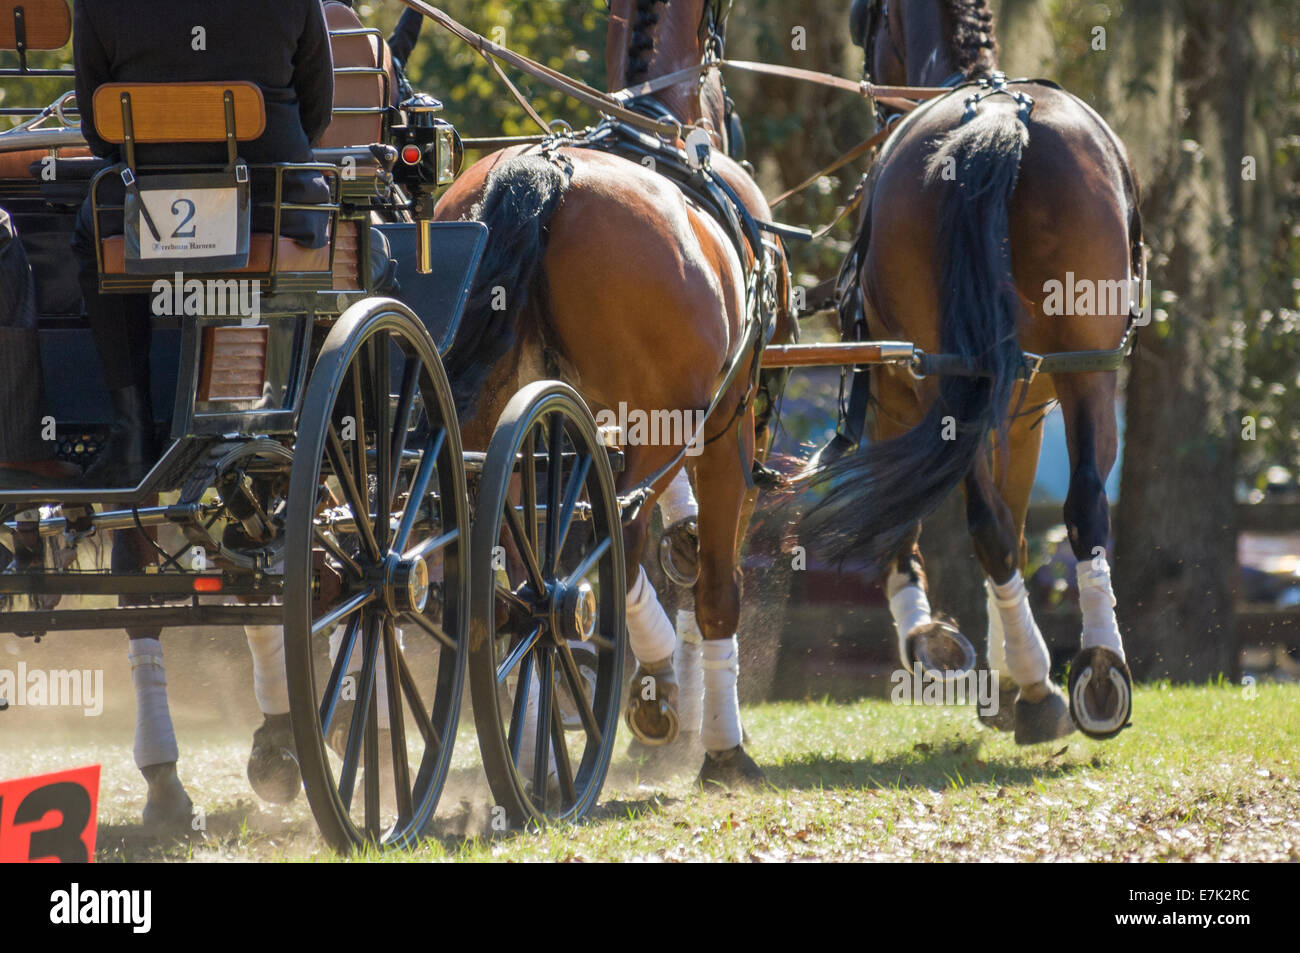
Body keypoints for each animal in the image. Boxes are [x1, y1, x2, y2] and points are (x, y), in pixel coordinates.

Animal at [435, 0, 796, 784]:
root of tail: (544, 171)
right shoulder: (725, 427)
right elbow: (716, 590)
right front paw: (720, 745)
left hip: (484, 434)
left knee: (506, 564)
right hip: (661, 429)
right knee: (614, 541)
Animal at [802, 0, 1142, 743]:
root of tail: (1001, 119)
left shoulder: (917, 396)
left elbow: (975, 520)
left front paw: (988, 665)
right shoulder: (1018, 408)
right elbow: (1012, 521)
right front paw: (1009, 671)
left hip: (966, 381)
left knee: (1006, 521)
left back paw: (1049, 681)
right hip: (1082, 373)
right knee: (1077, 506)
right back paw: (1090, 672)